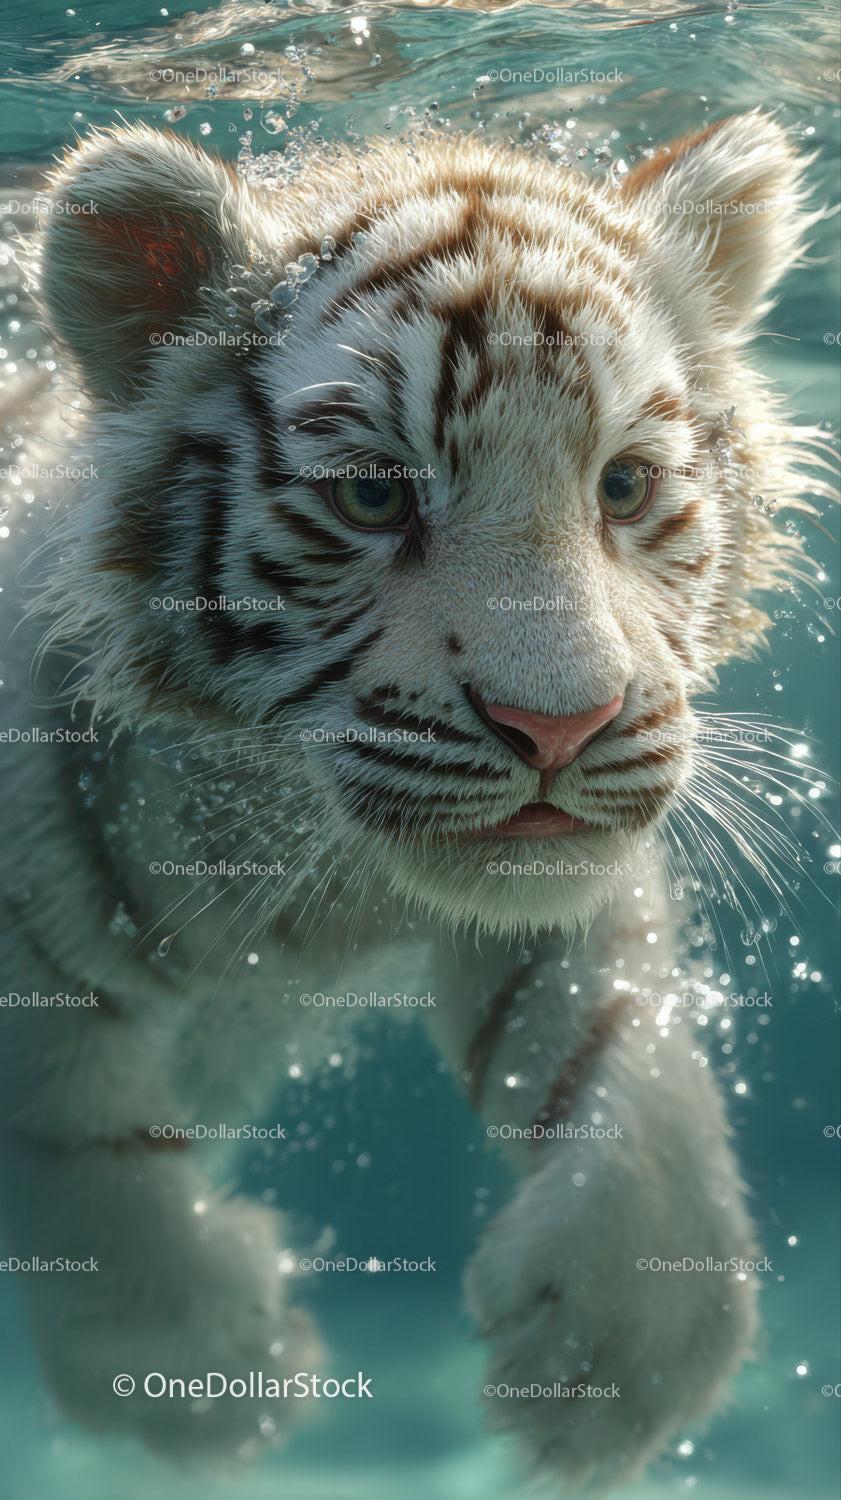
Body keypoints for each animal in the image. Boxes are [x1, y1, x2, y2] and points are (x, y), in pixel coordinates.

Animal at [0, 110, 824, 1488]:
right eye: (374, 494)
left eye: (623, 486)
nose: (561, 725)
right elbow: (71, 1122)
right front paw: (214, 1370)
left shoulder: (554, 899)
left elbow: (617, 1040)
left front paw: (615, 1355)